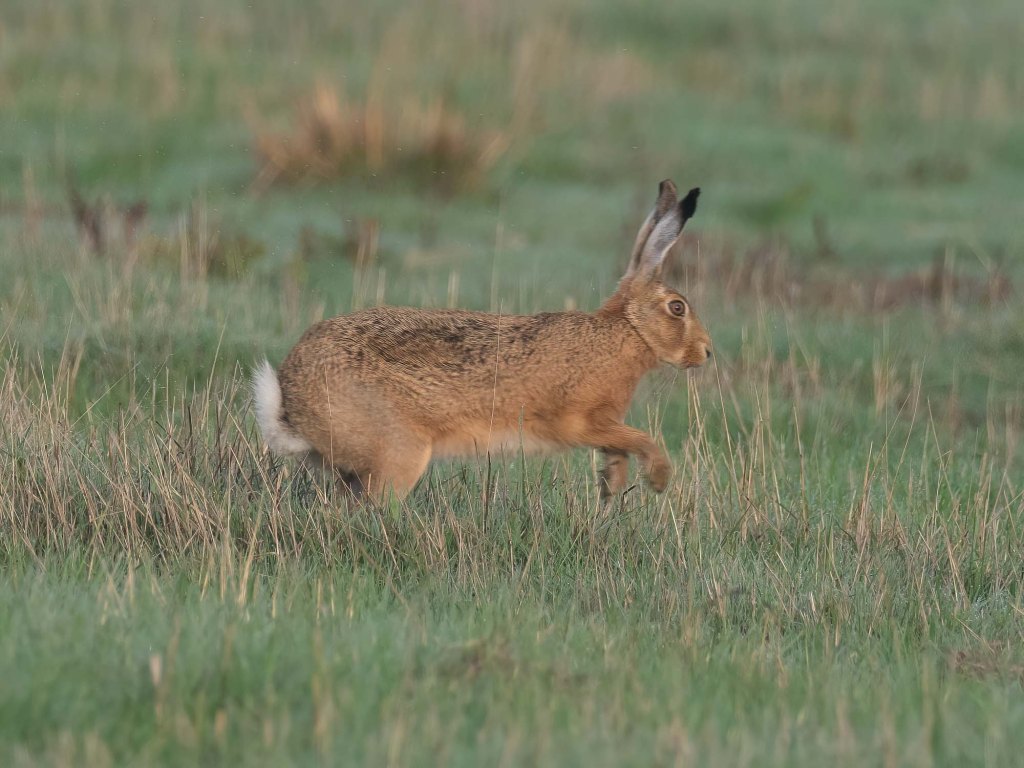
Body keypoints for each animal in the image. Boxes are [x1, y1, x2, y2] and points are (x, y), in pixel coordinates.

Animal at [253, 179, 711, 502]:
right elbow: (638, 438)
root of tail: (294, 407)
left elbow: (619, 447)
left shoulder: (604, 424)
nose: (705, 351)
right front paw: (659, 478)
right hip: (400, 453)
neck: (627, 332)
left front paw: (611, 486)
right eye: (677, 308)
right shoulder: (577, 419)